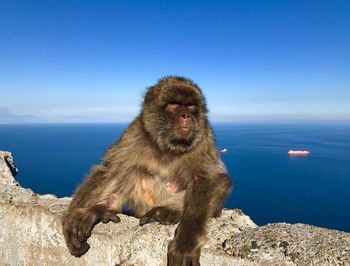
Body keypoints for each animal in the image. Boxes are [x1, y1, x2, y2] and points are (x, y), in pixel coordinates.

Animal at [61, 76, 232, 264]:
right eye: (174, 104)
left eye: (190, 105)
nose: (186, 115)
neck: (168, 147)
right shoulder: (135, 133)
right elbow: (110, 170)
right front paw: (71, 218)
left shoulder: (202, 138)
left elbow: (206, 180)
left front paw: (185, 245)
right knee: (128, 172)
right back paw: (98, 211)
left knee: (222, 181)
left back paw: (168, 212)